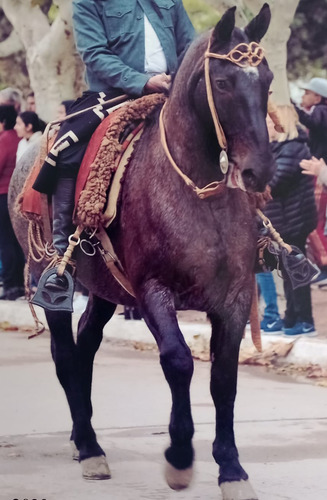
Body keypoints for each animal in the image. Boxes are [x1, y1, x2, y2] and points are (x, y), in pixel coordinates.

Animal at [9, 4, 276, 500]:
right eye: (223, 82)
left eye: (266, 79)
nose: (259, 171)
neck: (198, 190)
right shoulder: (153, 290)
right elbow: (178, 361)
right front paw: (179, 457)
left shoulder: (233, 298)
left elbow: (224, 379)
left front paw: (231, 469)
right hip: (46, 277)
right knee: (64, 354)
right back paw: (89, 447)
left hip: (104, 289)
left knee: (86, 346)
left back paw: (82, 439)